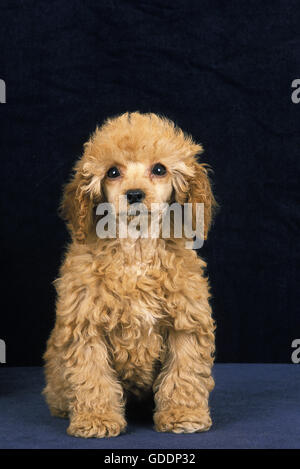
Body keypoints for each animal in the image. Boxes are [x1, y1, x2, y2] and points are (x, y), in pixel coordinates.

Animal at [42, 111, 216, 436]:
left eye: (159, 169)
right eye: (112, 172)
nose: (134, 194)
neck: (136, 246)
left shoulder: (185, 320)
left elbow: (184, 372)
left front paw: (183, 413)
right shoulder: (86, 324)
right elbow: (92, 375)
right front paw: (97, 418)